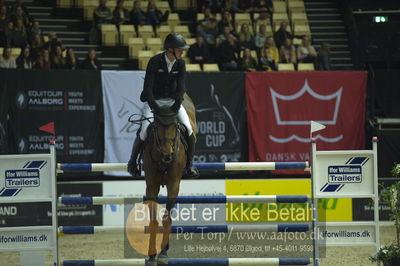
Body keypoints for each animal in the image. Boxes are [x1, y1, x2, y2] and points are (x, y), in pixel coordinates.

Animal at [143, 93, 196, 264]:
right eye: (157, 127)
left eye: (176, 127)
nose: (168, 154)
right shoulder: (151, 185)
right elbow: (153, 220)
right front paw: (152, 254)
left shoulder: (173, 184)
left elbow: (167, 218)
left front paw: (163, 252)